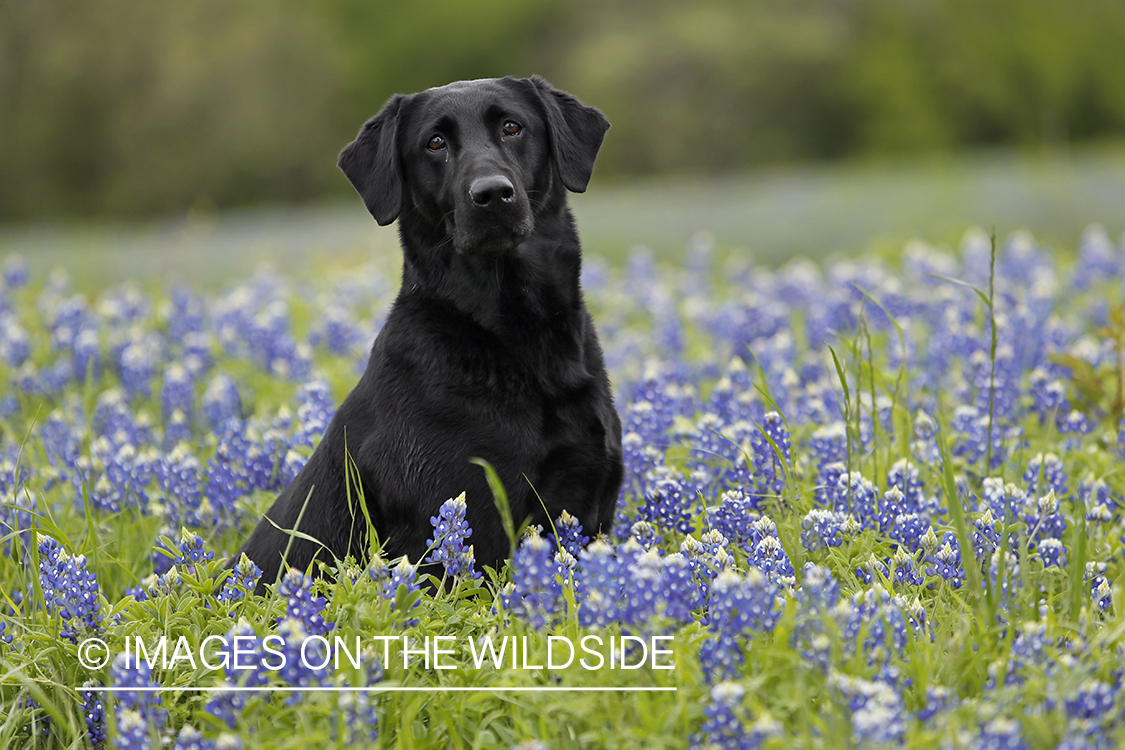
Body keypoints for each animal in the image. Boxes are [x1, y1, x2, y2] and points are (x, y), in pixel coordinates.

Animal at [237, 76, 625, 593]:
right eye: (434, 143)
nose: (492, 194)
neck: (517, 333)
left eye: (512, 127)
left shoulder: (586, 505)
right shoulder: (463, 516)